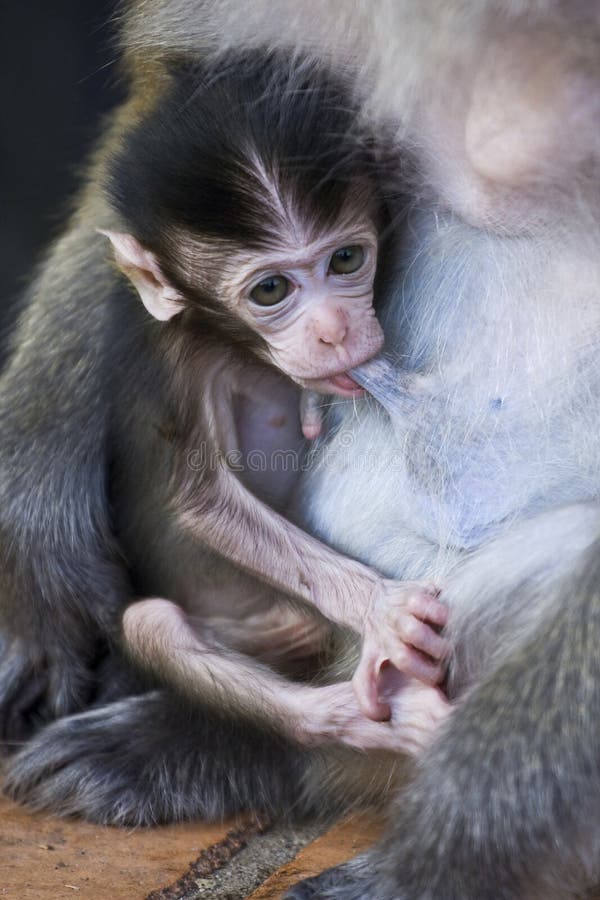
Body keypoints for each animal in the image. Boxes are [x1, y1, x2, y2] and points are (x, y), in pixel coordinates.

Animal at [104, 52, 450, 756]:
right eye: (270, 290)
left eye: (345, 259)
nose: (335, 330)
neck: (236, 347)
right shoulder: (175, 362)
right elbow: (205, 499)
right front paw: (379, 608)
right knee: (153, 624)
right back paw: (350, 718)